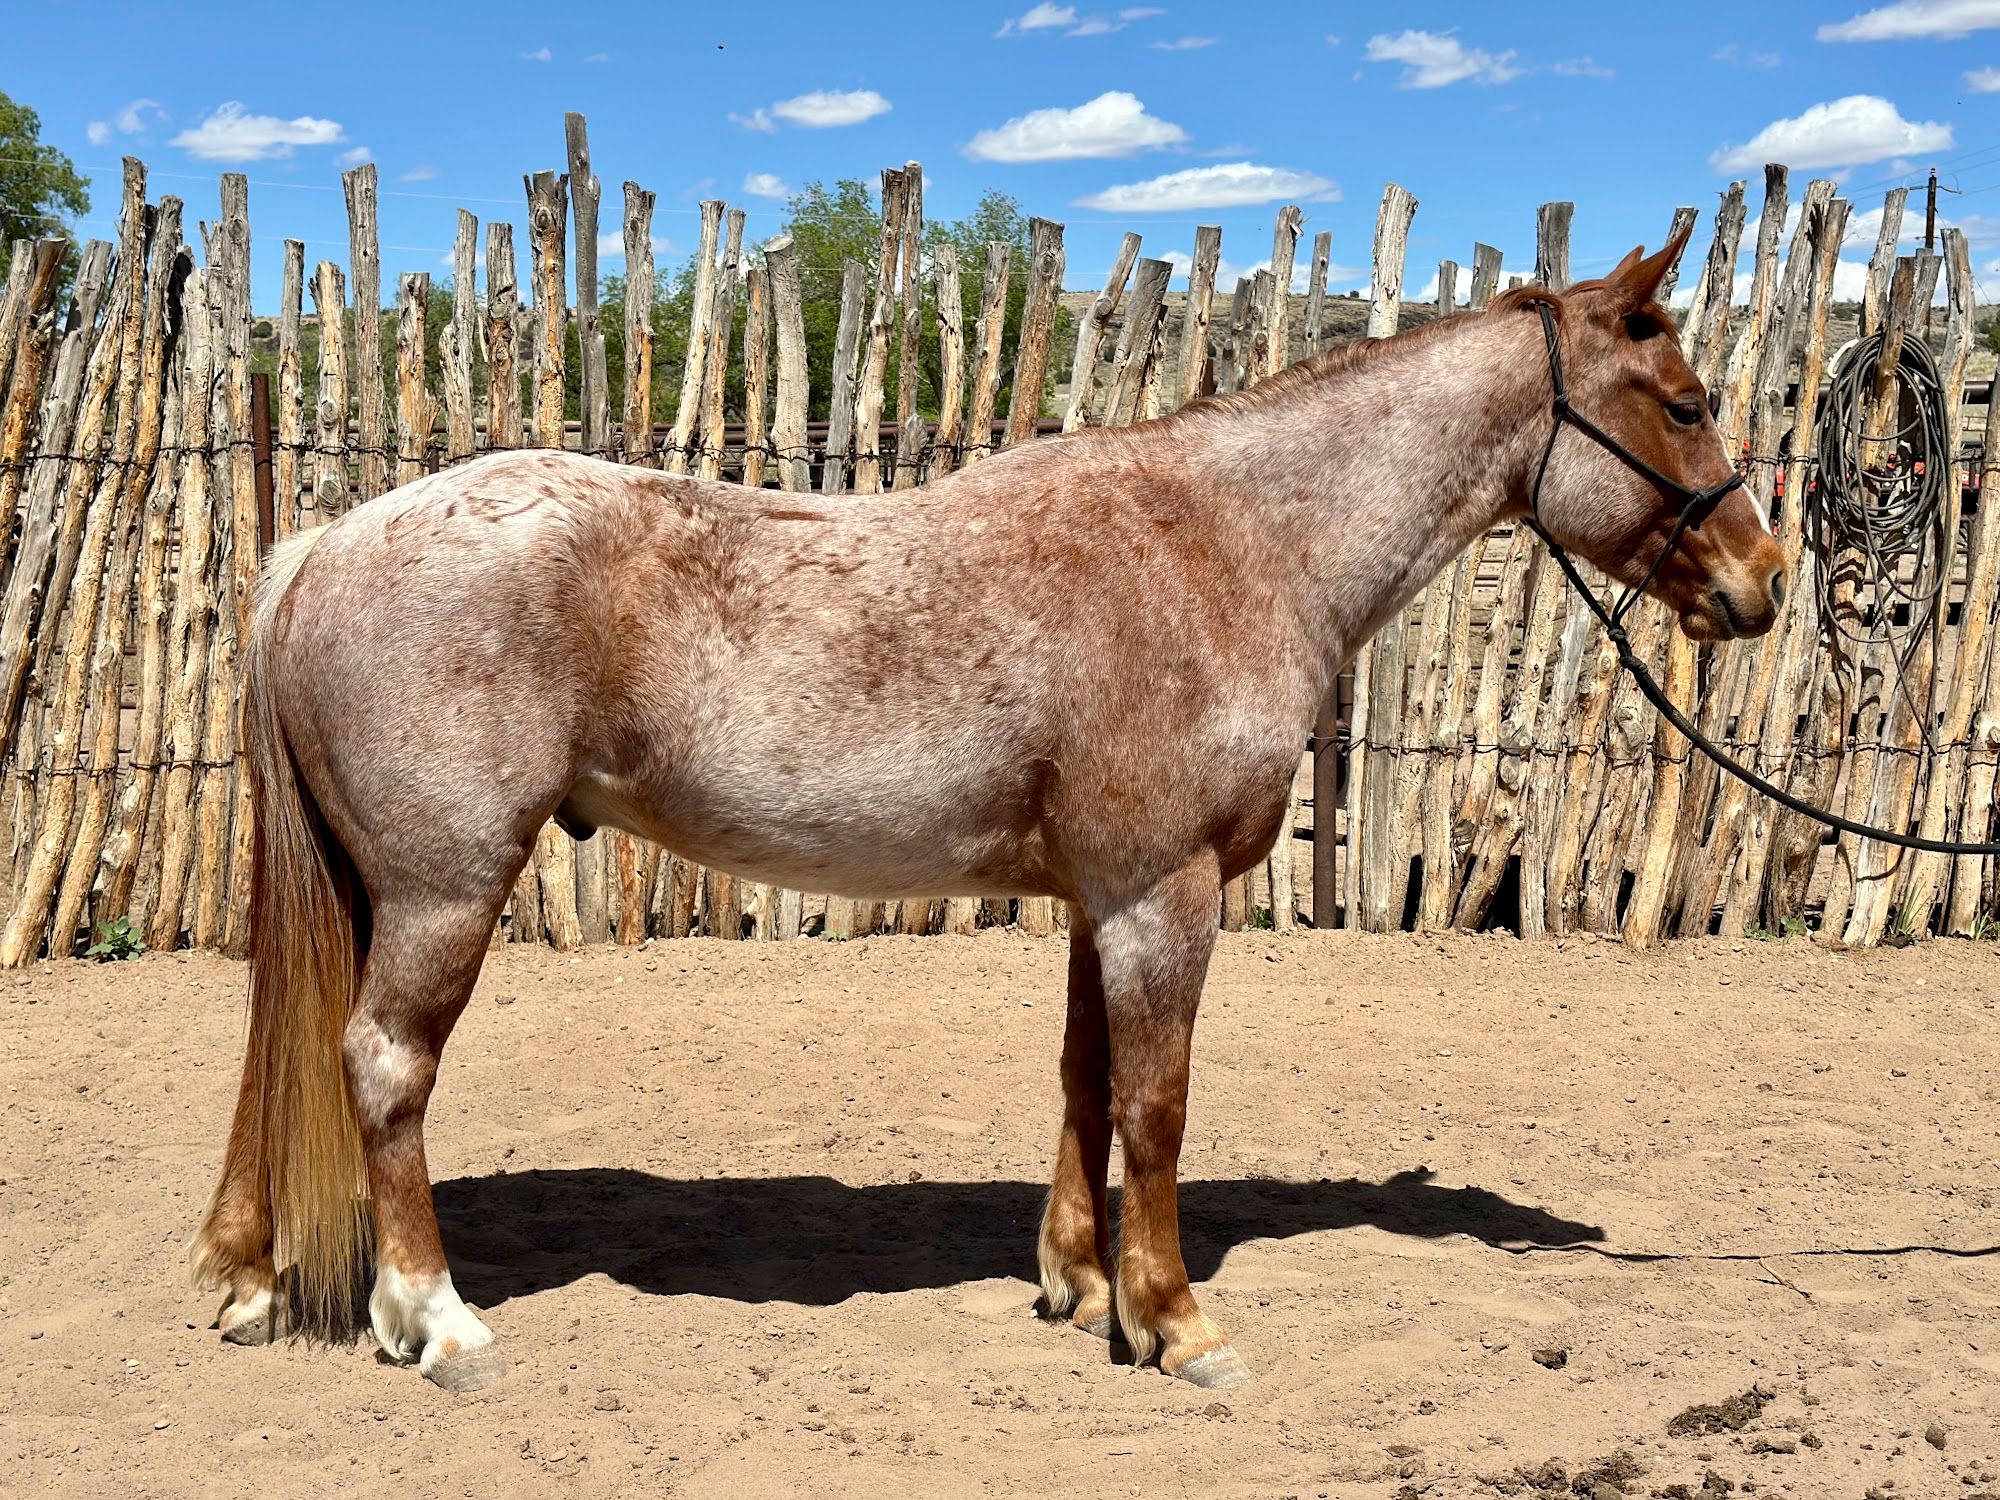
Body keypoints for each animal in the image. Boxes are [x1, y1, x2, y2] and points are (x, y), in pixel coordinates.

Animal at [190, 229, 1783, 1394]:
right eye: (1686, 405)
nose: (1762, 581)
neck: (1225, 545)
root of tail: (329, 544)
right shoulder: (1163, 894)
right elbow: (1156, 1101)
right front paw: (1175, 1322)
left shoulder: (1100, 900)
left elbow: (1084, 1083)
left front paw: (1080, 1285)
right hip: (445, 893)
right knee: (383, 1064)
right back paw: (433, 1318)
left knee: (282, 1058)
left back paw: (247, 1279)